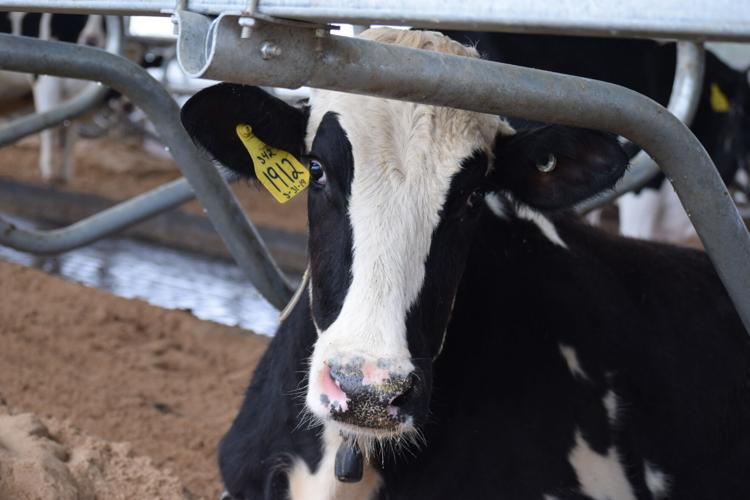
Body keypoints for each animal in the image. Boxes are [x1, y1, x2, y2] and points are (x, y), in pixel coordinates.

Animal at [0, 12, 105, 183]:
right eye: (83, 17)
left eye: (104, 20)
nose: (92, 40)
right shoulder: (46, 82)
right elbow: (49, 125)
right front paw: (48, 171)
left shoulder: (77, 93)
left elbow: (71, 132)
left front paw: (66, 175)